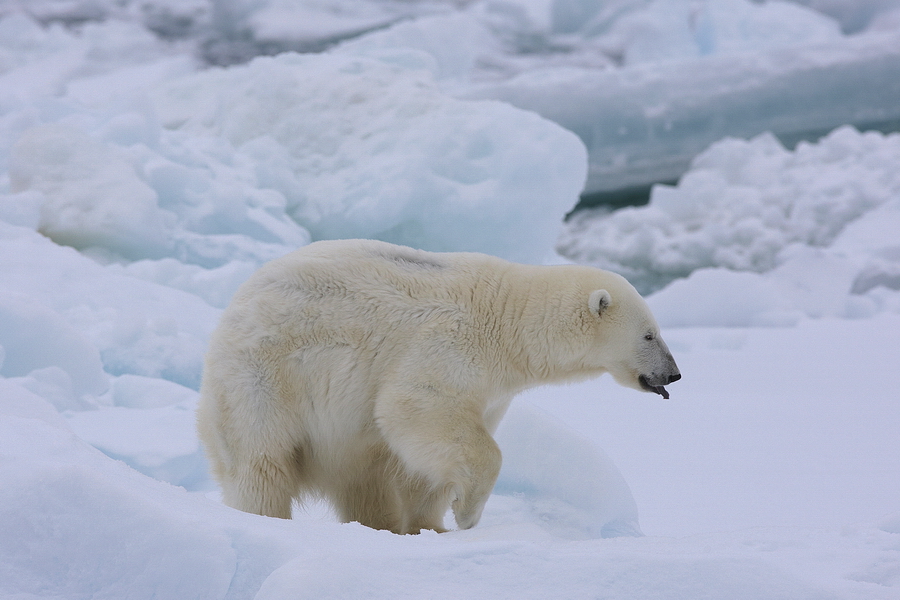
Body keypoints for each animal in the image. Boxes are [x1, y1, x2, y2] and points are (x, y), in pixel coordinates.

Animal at [195, 239, 676, 536]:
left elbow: (422, 463)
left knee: (364, 476)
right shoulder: (446, 345)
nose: (673, 375)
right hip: (263, 381)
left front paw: (433, 526)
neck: (503, 320)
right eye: (649, 334)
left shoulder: (492, 389)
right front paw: (467, 515)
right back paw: (267, 518)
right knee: (261, 465)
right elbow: (414, 409)